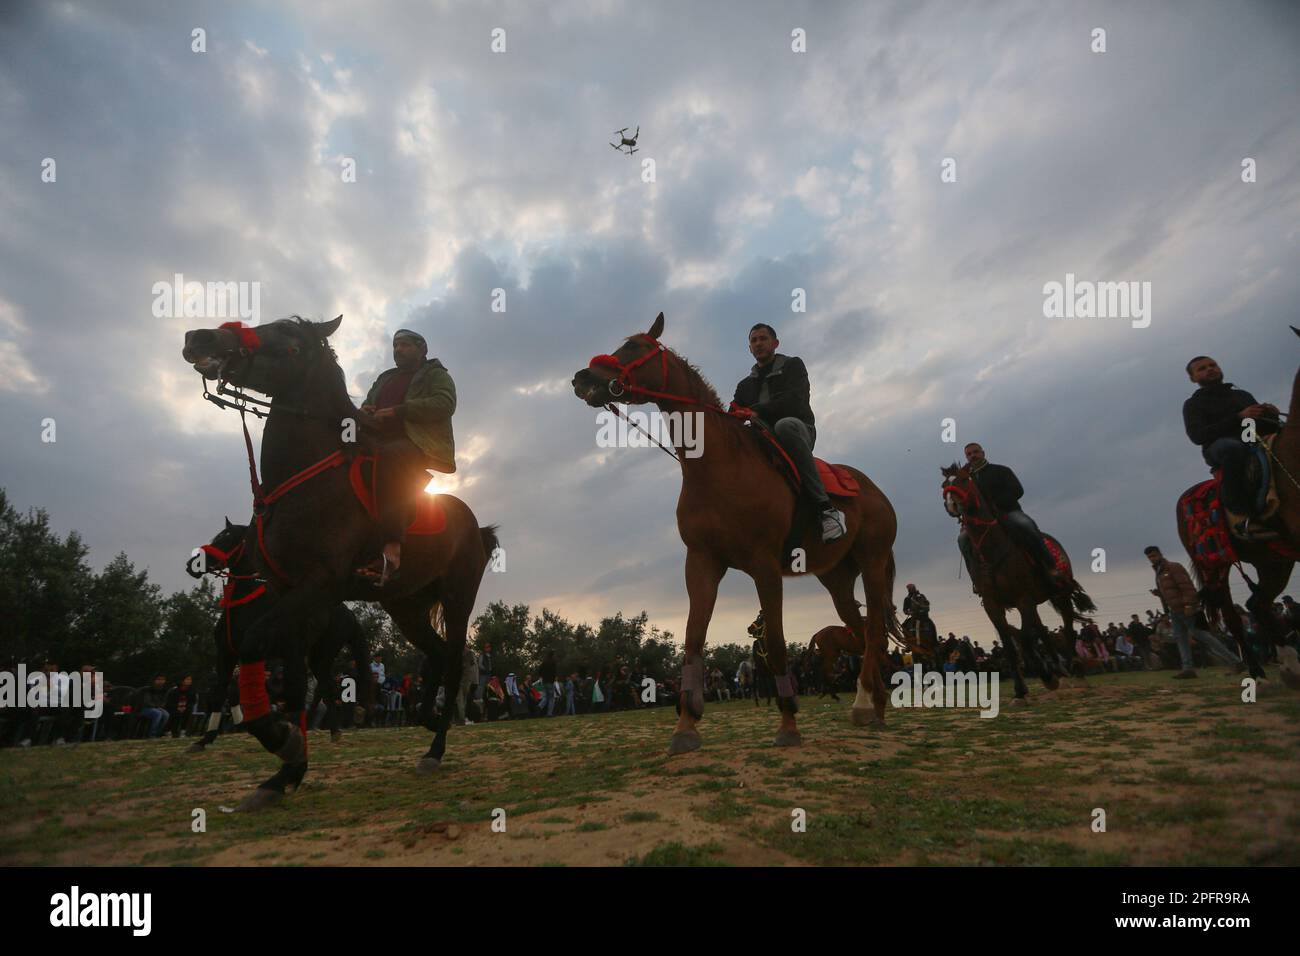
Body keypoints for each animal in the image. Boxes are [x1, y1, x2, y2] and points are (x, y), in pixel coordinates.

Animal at [182, 520, 371, 749]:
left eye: (227, 539)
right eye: (216, 537)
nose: (192, 564)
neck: (244, 605)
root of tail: (348, 613)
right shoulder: (227, 654)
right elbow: (222, 692)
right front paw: (205, 739)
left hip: (323, 654)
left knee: (322, 688)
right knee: (322, 688)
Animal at [574, 310, 909, 749]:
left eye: (635, 347)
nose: (583, 378)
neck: (717, 467)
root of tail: (874, 491)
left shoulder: (764, 568)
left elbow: (778, 645)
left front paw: (788, 725)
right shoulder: (701, 564)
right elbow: (692, 642)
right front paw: (686, 727)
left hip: (872, 562)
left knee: (872, 631)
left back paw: (868, 703)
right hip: (836, 579)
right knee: (865, 632)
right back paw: (872, 706)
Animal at [941, 463, 1092, 702]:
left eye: (963, 480)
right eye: (944, 485)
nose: (951, 505)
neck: (992, 550)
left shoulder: (1023, 598)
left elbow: (1026, 638)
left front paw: (1045, 675)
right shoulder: (993, 604)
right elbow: (1012, 643)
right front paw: (1021, 688)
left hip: (1061, 594)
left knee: (1067, 628)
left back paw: (1075, 671)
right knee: (1042, 630)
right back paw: (1059, 667)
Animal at [1175, 327, 1300, 686]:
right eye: (1202, 369)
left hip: (1273, 559)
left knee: (1257, 604)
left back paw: (1288, 662)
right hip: (1216, 565)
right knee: (1233, 614)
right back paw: (1258, 670)